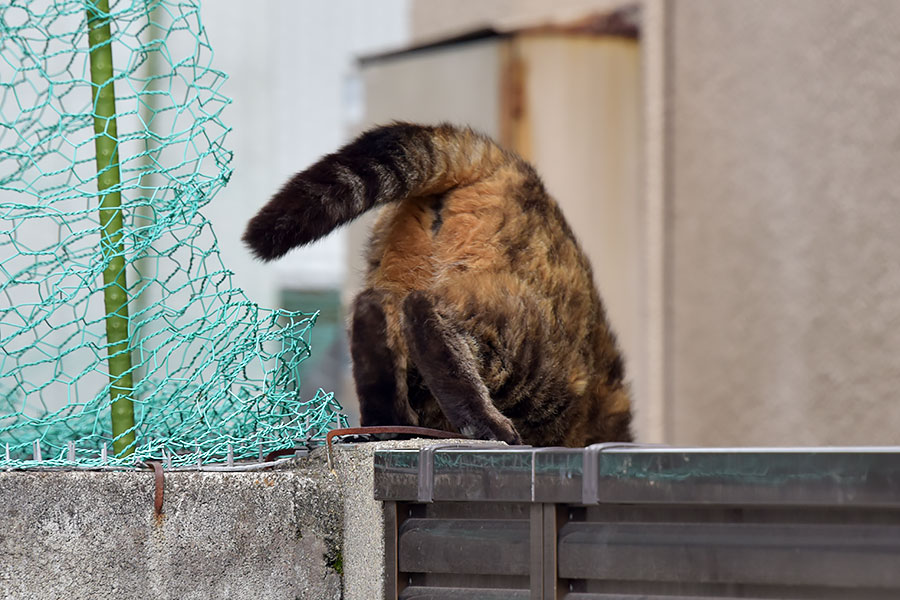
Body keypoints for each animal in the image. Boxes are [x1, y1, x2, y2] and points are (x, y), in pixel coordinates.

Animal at [243, 122, 628, 446]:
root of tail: (496, 159)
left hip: (393, 272)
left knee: (372, 310)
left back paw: (387, 422)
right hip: (534, 347)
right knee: (425, 311)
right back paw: (485, 425)